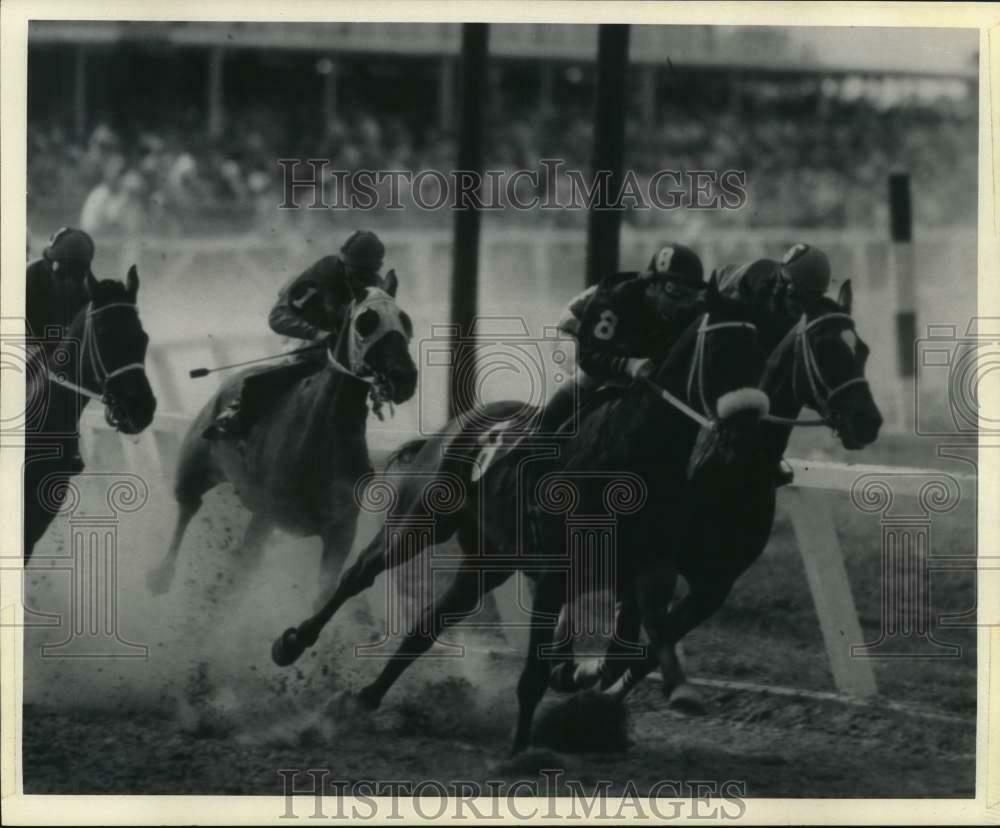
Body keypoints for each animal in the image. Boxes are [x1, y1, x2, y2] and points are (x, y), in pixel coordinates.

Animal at [145, 274, 418, 604]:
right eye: (366, 322)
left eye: (406, 322)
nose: (404, 377)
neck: (323, 434)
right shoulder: (275, 513)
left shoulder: (340, 529)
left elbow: (323, 591)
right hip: (195, 464)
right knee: (188, 507)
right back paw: (162, 576)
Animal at [266, 282, 764, 752]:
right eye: (720, 348)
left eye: (762, 352)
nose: (743, 430)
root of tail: (454, 425)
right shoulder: (555, 575)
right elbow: (537, 671)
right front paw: (523, 749)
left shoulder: (646, 568)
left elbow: (628, 642)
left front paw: (578, 688)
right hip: (419, 523)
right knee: (360, 574)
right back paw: (291, 644)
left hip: (488, 561)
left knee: (428, 624)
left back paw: (362, 700)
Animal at [556, 278, 884, 704]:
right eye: (825, 347)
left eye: (862, 350)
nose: (867, 421)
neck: (728, 471)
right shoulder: (651, 559)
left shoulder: (716, 582)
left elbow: (652, 642)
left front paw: (614, 682)